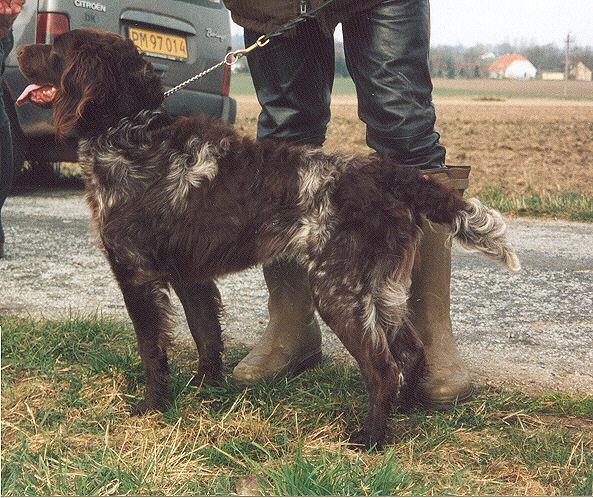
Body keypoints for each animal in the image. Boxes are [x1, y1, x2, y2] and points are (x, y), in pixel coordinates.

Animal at [16, 27, 520, 448]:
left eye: (54, 47)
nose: (18, 49)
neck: (130, 133)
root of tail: (388, 174)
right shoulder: (190, 276)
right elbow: (206, 337)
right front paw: (205, 390)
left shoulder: (136, 275)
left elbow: (152, 351)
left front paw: (151, 408)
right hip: (383, 289)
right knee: (411, 354)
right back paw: (407, 414)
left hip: (340, 291)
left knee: (382, 368)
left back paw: (372, 438)